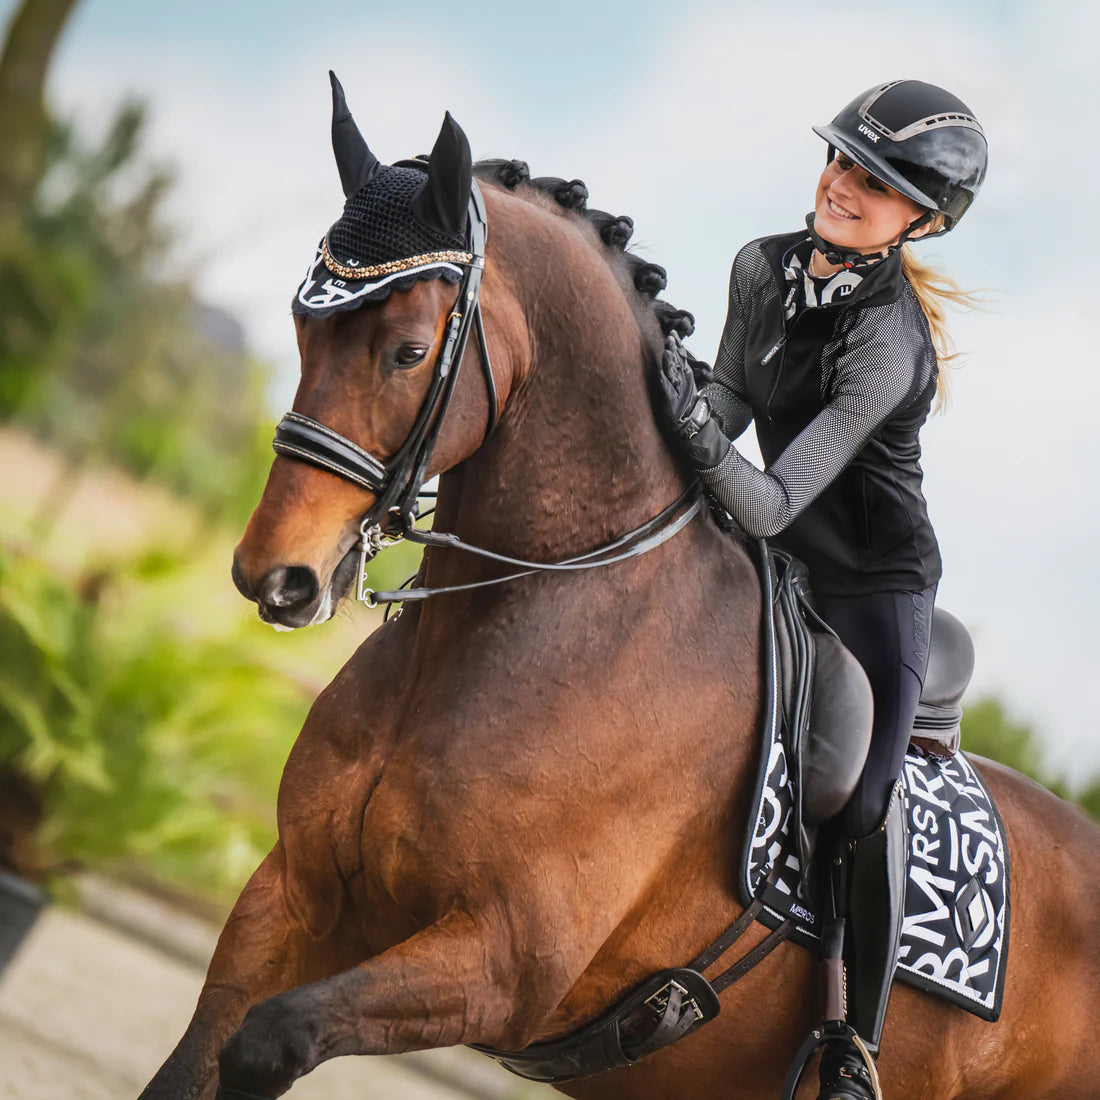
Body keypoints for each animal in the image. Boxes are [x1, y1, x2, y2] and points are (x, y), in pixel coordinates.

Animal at [141, 90, 1100, 1095]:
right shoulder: (291, 894)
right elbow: (199, 1056)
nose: (275, 574)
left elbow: (270, 1039)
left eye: (405, 352)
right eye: (303, 324)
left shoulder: (502, 965)